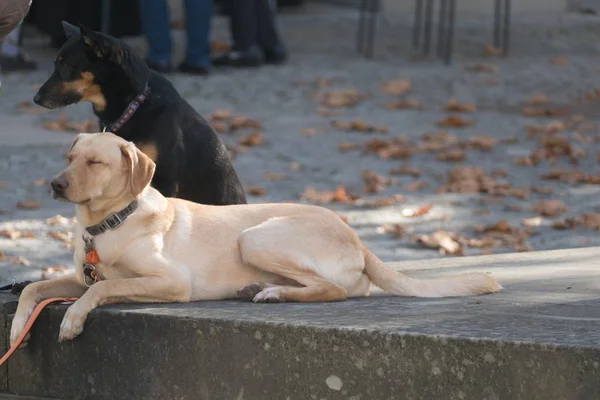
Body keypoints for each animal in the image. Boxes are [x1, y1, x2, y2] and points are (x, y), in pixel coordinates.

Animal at [11, 133, 504, 346]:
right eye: (69, 156)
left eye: (95, 162)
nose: (55, 184)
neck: (107, 224)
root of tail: (353, 233)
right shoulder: (81, 276)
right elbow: (36, 286)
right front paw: (18, 327)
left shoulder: (171, 282)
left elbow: (105, 288)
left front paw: (72, 320)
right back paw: (261, 288)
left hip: (254, 237)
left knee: (334, 289)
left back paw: (272, 293)